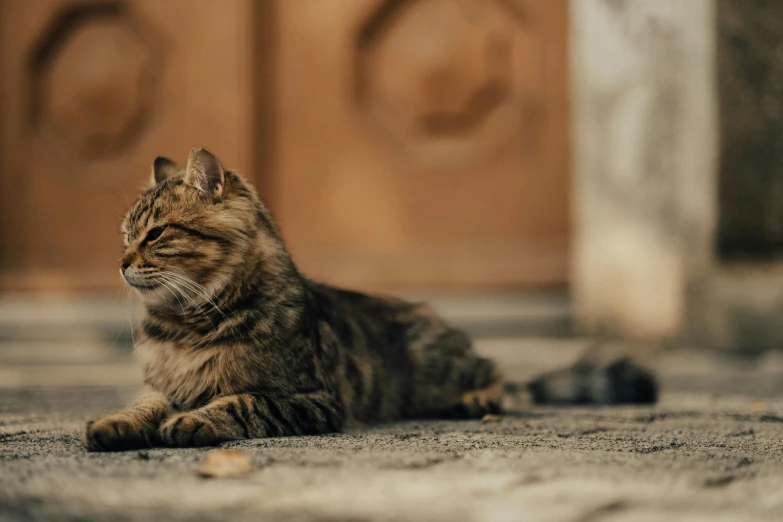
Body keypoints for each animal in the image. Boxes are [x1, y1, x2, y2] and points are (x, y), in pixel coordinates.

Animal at [81, 147, 656, 450]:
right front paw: (114, 424)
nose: (121, 262)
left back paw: (476, 400)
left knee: (499, 377)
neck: (186, 323)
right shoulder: (161, 383)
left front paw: (193, 421)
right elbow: (143, 404)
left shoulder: (310, 398)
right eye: (124, 236)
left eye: (156, 234)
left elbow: (240, 402)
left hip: (441, 359)